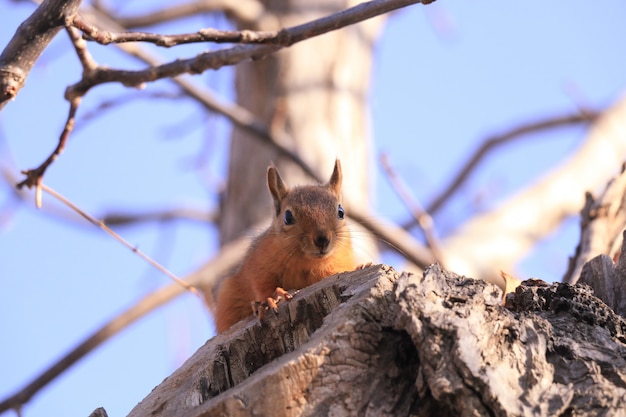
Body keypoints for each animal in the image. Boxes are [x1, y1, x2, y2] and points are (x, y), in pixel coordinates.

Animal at [213, 159, 356, 332]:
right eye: (288, 217)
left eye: (341, 211)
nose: (322, 239)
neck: (306, 262)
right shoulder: (258, 265)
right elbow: (261, 285)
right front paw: (272, 298)